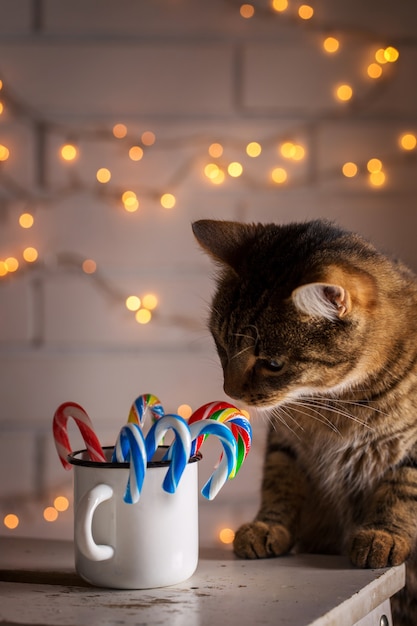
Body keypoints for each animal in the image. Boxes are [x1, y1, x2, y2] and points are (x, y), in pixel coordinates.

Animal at [193, 218, 417, 624]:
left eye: (273, 363)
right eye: (221, 344)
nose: (230, 392)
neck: (335, 404)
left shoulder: (411, 449)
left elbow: (401, 491)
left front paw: (385, 534)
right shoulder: (286, 440)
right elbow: (281, 482)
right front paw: (269, 525)